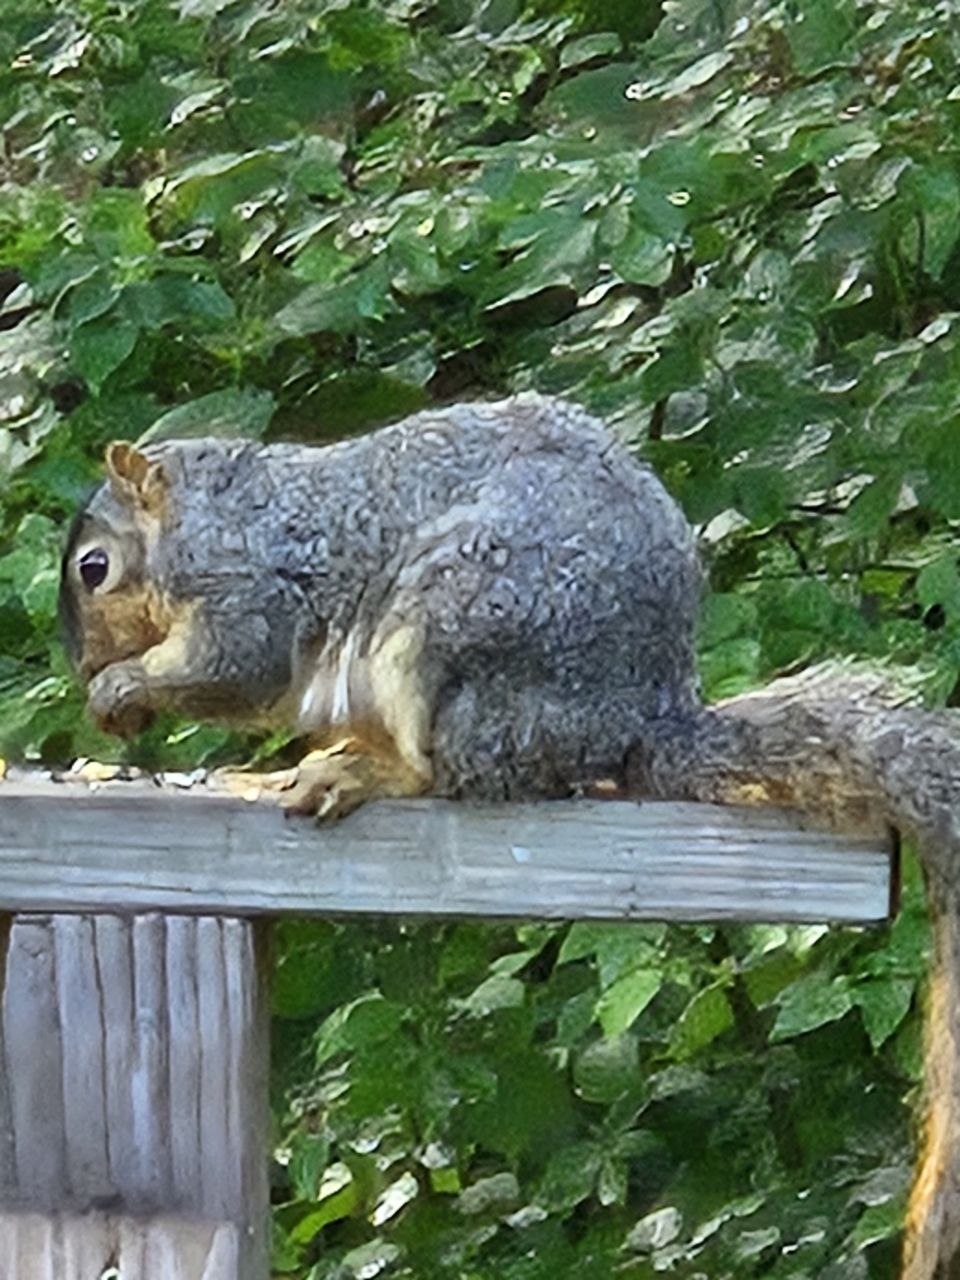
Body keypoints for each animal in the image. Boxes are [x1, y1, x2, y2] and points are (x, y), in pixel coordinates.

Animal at [60, 391, 960, 1276]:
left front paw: (124, 686)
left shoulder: (248, 591)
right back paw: (301, 767)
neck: (201, 515)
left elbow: (237, 668)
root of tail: (636, 723)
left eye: (93, 568)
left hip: (449, 625)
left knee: (444, 774)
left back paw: (353, 775)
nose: (81, 668)